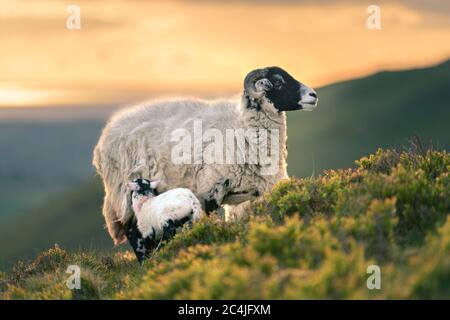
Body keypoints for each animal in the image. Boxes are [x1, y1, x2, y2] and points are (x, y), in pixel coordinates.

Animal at [92, 66, 316, 244]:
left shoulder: (254, 191)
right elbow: (205, 222)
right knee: (132, 230)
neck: (242, 127)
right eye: (278, 82)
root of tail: (101, 144)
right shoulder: (209, 189)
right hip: (126, 193)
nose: (313, 95)